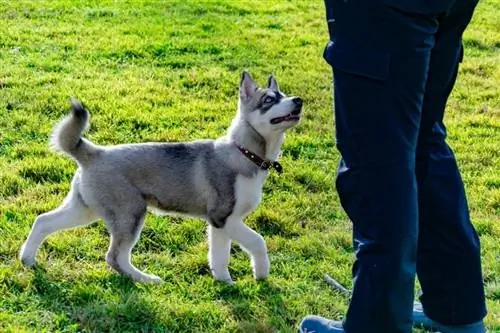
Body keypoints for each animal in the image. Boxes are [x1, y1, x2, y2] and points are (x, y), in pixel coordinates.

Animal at [19, 72, 302, 282]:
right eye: (269, 100)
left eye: (285, 95)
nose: (298, 100)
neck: (244, 152)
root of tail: (94, 152)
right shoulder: (222, 217)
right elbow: (258, 242)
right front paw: (261, 274)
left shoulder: (220, 225)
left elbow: (219, 255)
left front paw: (224, 282)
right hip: (130, 214)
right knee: (115, 257)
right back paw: (145, 279)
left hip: (84, 209)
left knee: (43, 221)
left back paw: (27, 259)